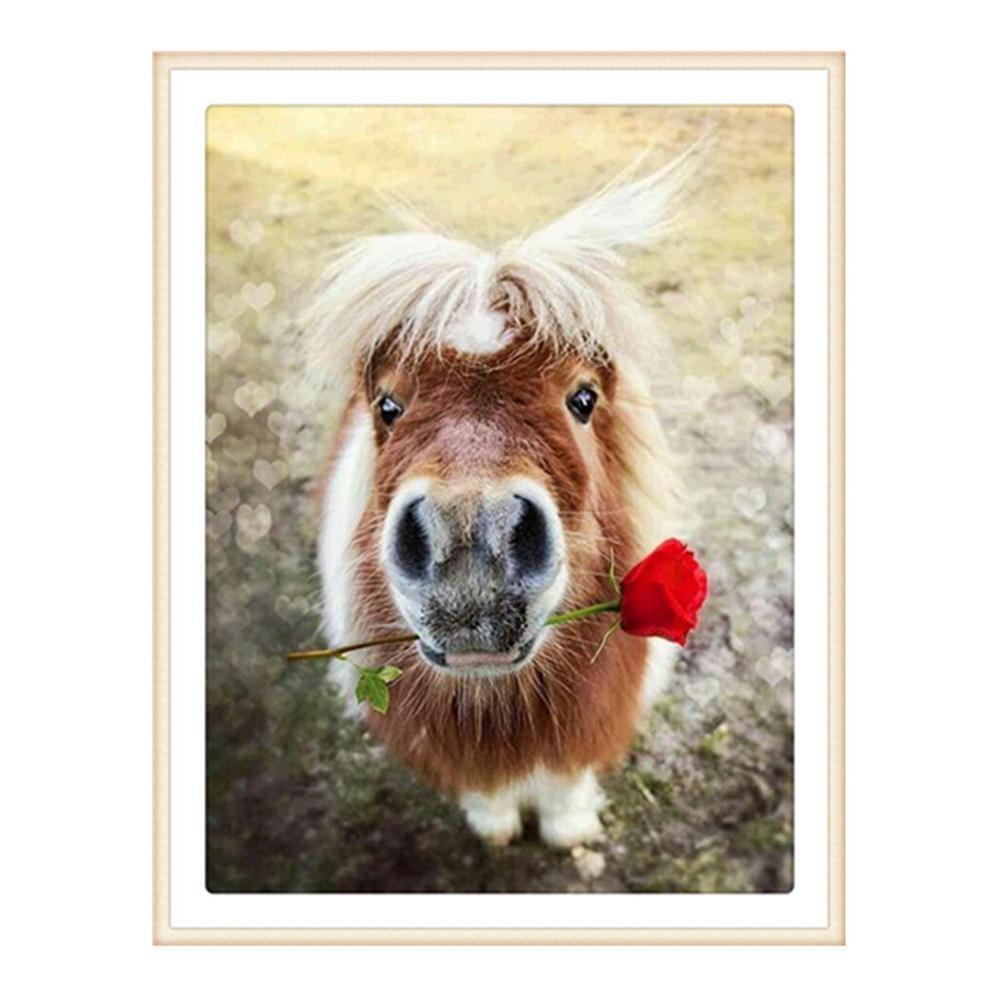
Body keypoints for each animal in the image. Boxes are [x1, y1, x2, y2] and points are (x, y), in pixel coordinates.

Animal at [307, 148, 697, 847]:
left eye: (583, 398)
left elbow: (566, 782)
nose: (468, 541)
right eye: (388, 405)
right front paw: (495, 827)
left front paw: (568, 829)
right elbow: (487, 788)